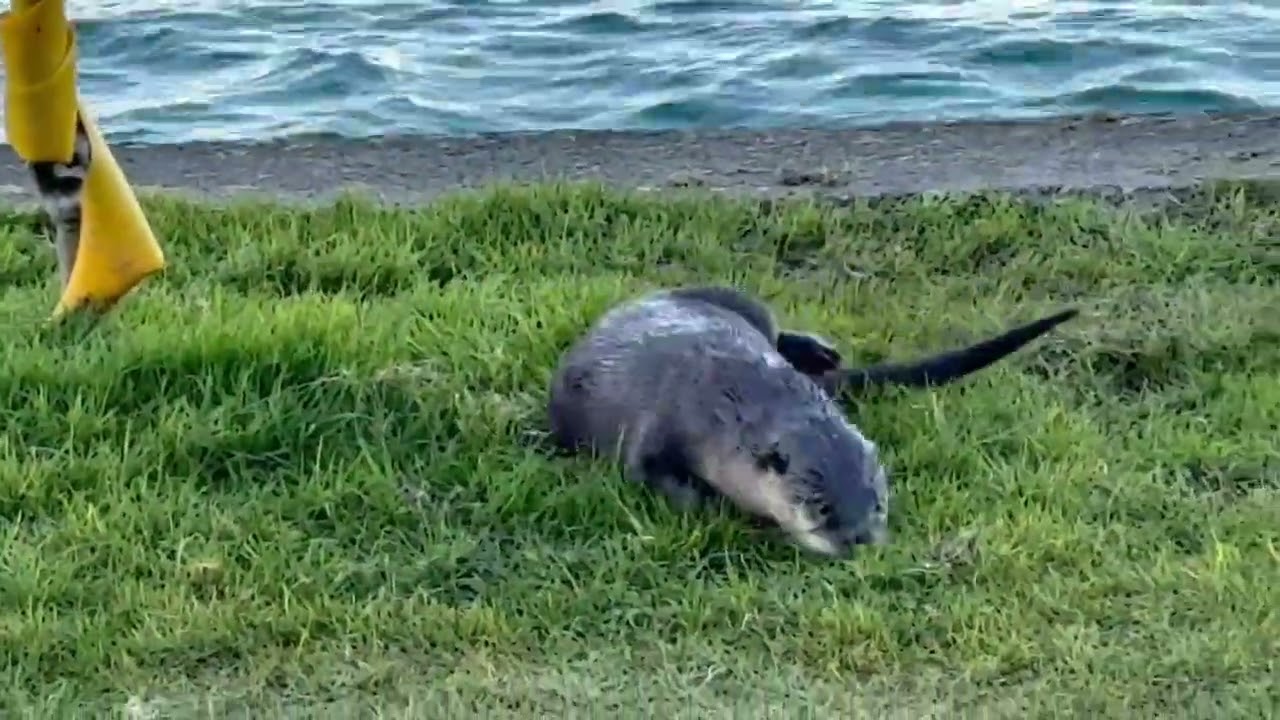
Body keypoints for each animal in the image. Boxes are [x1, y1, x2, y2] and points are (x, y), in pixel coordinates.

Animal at [546, 285, 1078, 558]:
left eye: (878, 502)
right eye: (821, 507)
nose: (860, 540)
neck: (721, 396)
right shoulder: (658, 422)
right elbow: (647, 471)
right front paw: (707, 503)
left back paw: (819, 350)